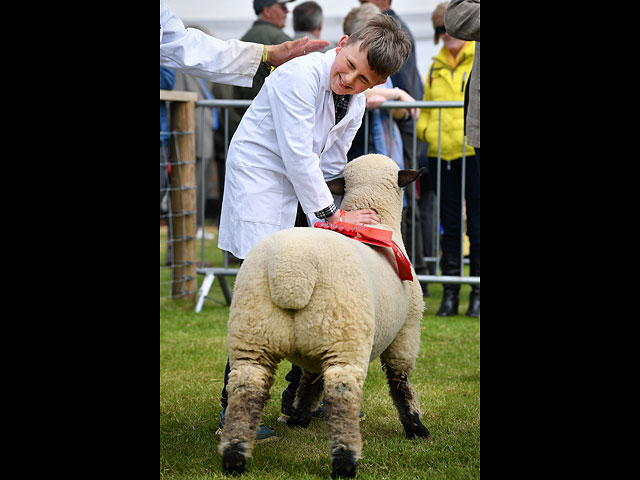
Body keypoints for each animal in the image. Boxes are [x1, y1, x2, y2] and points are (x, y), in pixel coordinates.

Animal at [219, 154, 430, 476]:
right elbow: (400, 383)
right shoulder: (406, 332)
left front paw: (299, 416)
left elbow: (309, 381)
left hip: (254, 331)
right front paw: (415, 426)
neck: (382, 221)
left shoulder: (314, 351)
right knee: (343, 392)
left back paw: (234, 457)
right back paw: (345, 461)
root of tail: (292, 272)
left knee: (246, 387)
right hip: (344, 334)